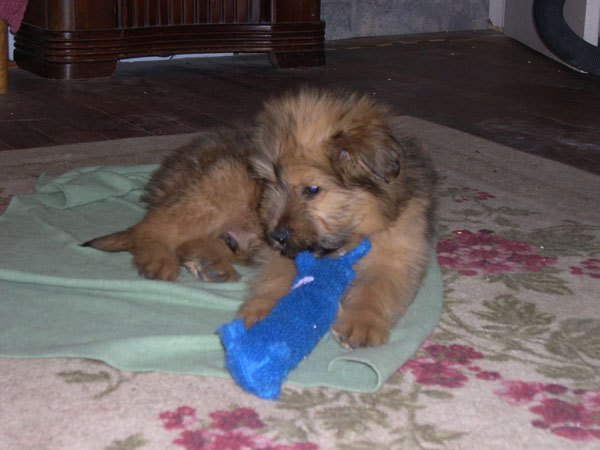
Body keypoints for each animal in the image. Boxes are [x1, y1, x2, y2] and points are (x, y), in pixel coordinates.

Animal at [237, 88, 438, 348]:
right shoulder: (284, 252)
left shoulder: (396, 251)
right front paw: (263, 308)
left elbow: (375, 285)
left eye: (312, 189)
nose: (276, 235)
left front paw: (361, 322)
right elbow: (277, 274)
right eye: (271, 184)